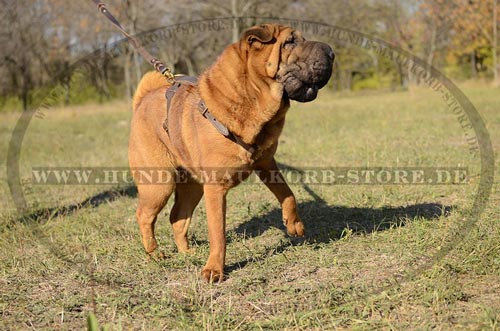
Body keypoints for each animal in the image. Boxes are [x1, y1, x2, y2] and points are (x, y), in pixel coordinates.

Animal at [129, 23, 334, 282]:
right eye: (289, 42)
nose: (332, 53)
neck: (250, 97)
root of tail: (142, 100)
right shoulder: (216, 189)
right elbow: (218, 233)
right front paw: (214, 270)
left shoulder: (266, 163)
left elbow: (288, 194)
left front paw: (293, 225)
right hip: (159, 184)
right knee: (144, 216)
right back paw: (155, 255)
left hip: (193, 186)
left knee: (177, 217)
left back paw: (187, 253)